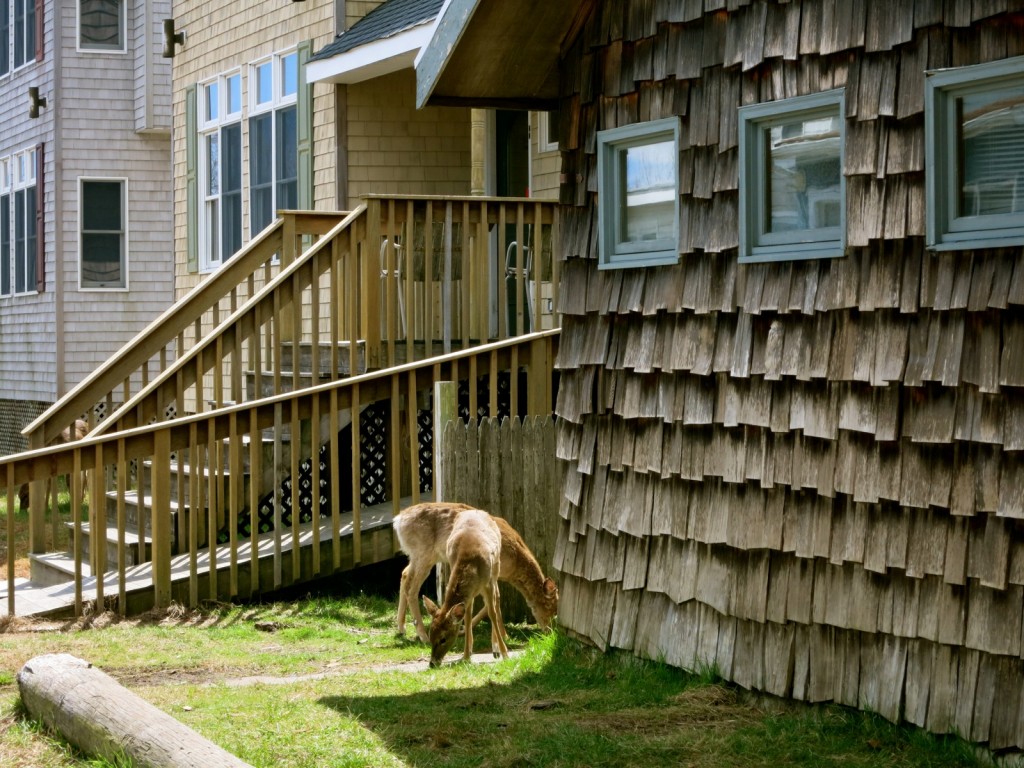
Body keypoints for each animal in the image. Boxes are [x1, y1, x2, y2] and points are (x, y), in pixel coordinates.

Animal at [393, 501, 561, 647]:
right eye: (549, 606)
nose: (549, 631)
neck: (514, 561)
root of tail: (398, 521)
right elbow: (496, 600)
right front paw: (504, 636)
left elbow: (490, 601)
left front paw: (465, 628)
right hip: (423, 553)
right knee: (411, 587)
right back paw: (423, 636)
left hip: (419, 555)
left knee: (404, 574)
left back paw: (401, 628)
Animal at [419, 505, 507, 667]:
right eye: (430, 635)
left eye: (443, 639)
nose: (432, 663)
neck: (469, 561)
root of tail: (477, 510)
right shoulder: (470, 591)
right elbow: (467, 617)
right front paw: (466, 656)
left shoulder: (487, 583)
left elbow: (491, 612)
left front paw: (505, 653)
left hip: (496, 567)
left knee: (496, 600)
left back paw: (496, 649)